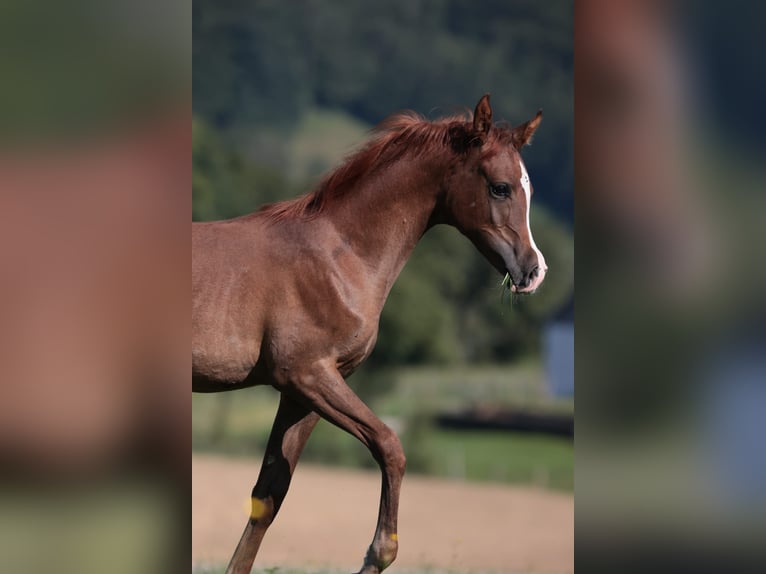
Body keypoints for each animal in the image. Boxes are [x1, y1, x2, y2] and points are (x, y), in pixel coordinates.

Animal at [192, 94, 547, 574]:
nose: (533, 272)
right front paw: (377, 555)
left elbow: (268, 495)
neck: (339, 255)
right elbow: (390, 445)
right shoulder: (306, 374)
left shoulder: (303, 393)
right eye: (501, 187)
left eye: (528, 189)